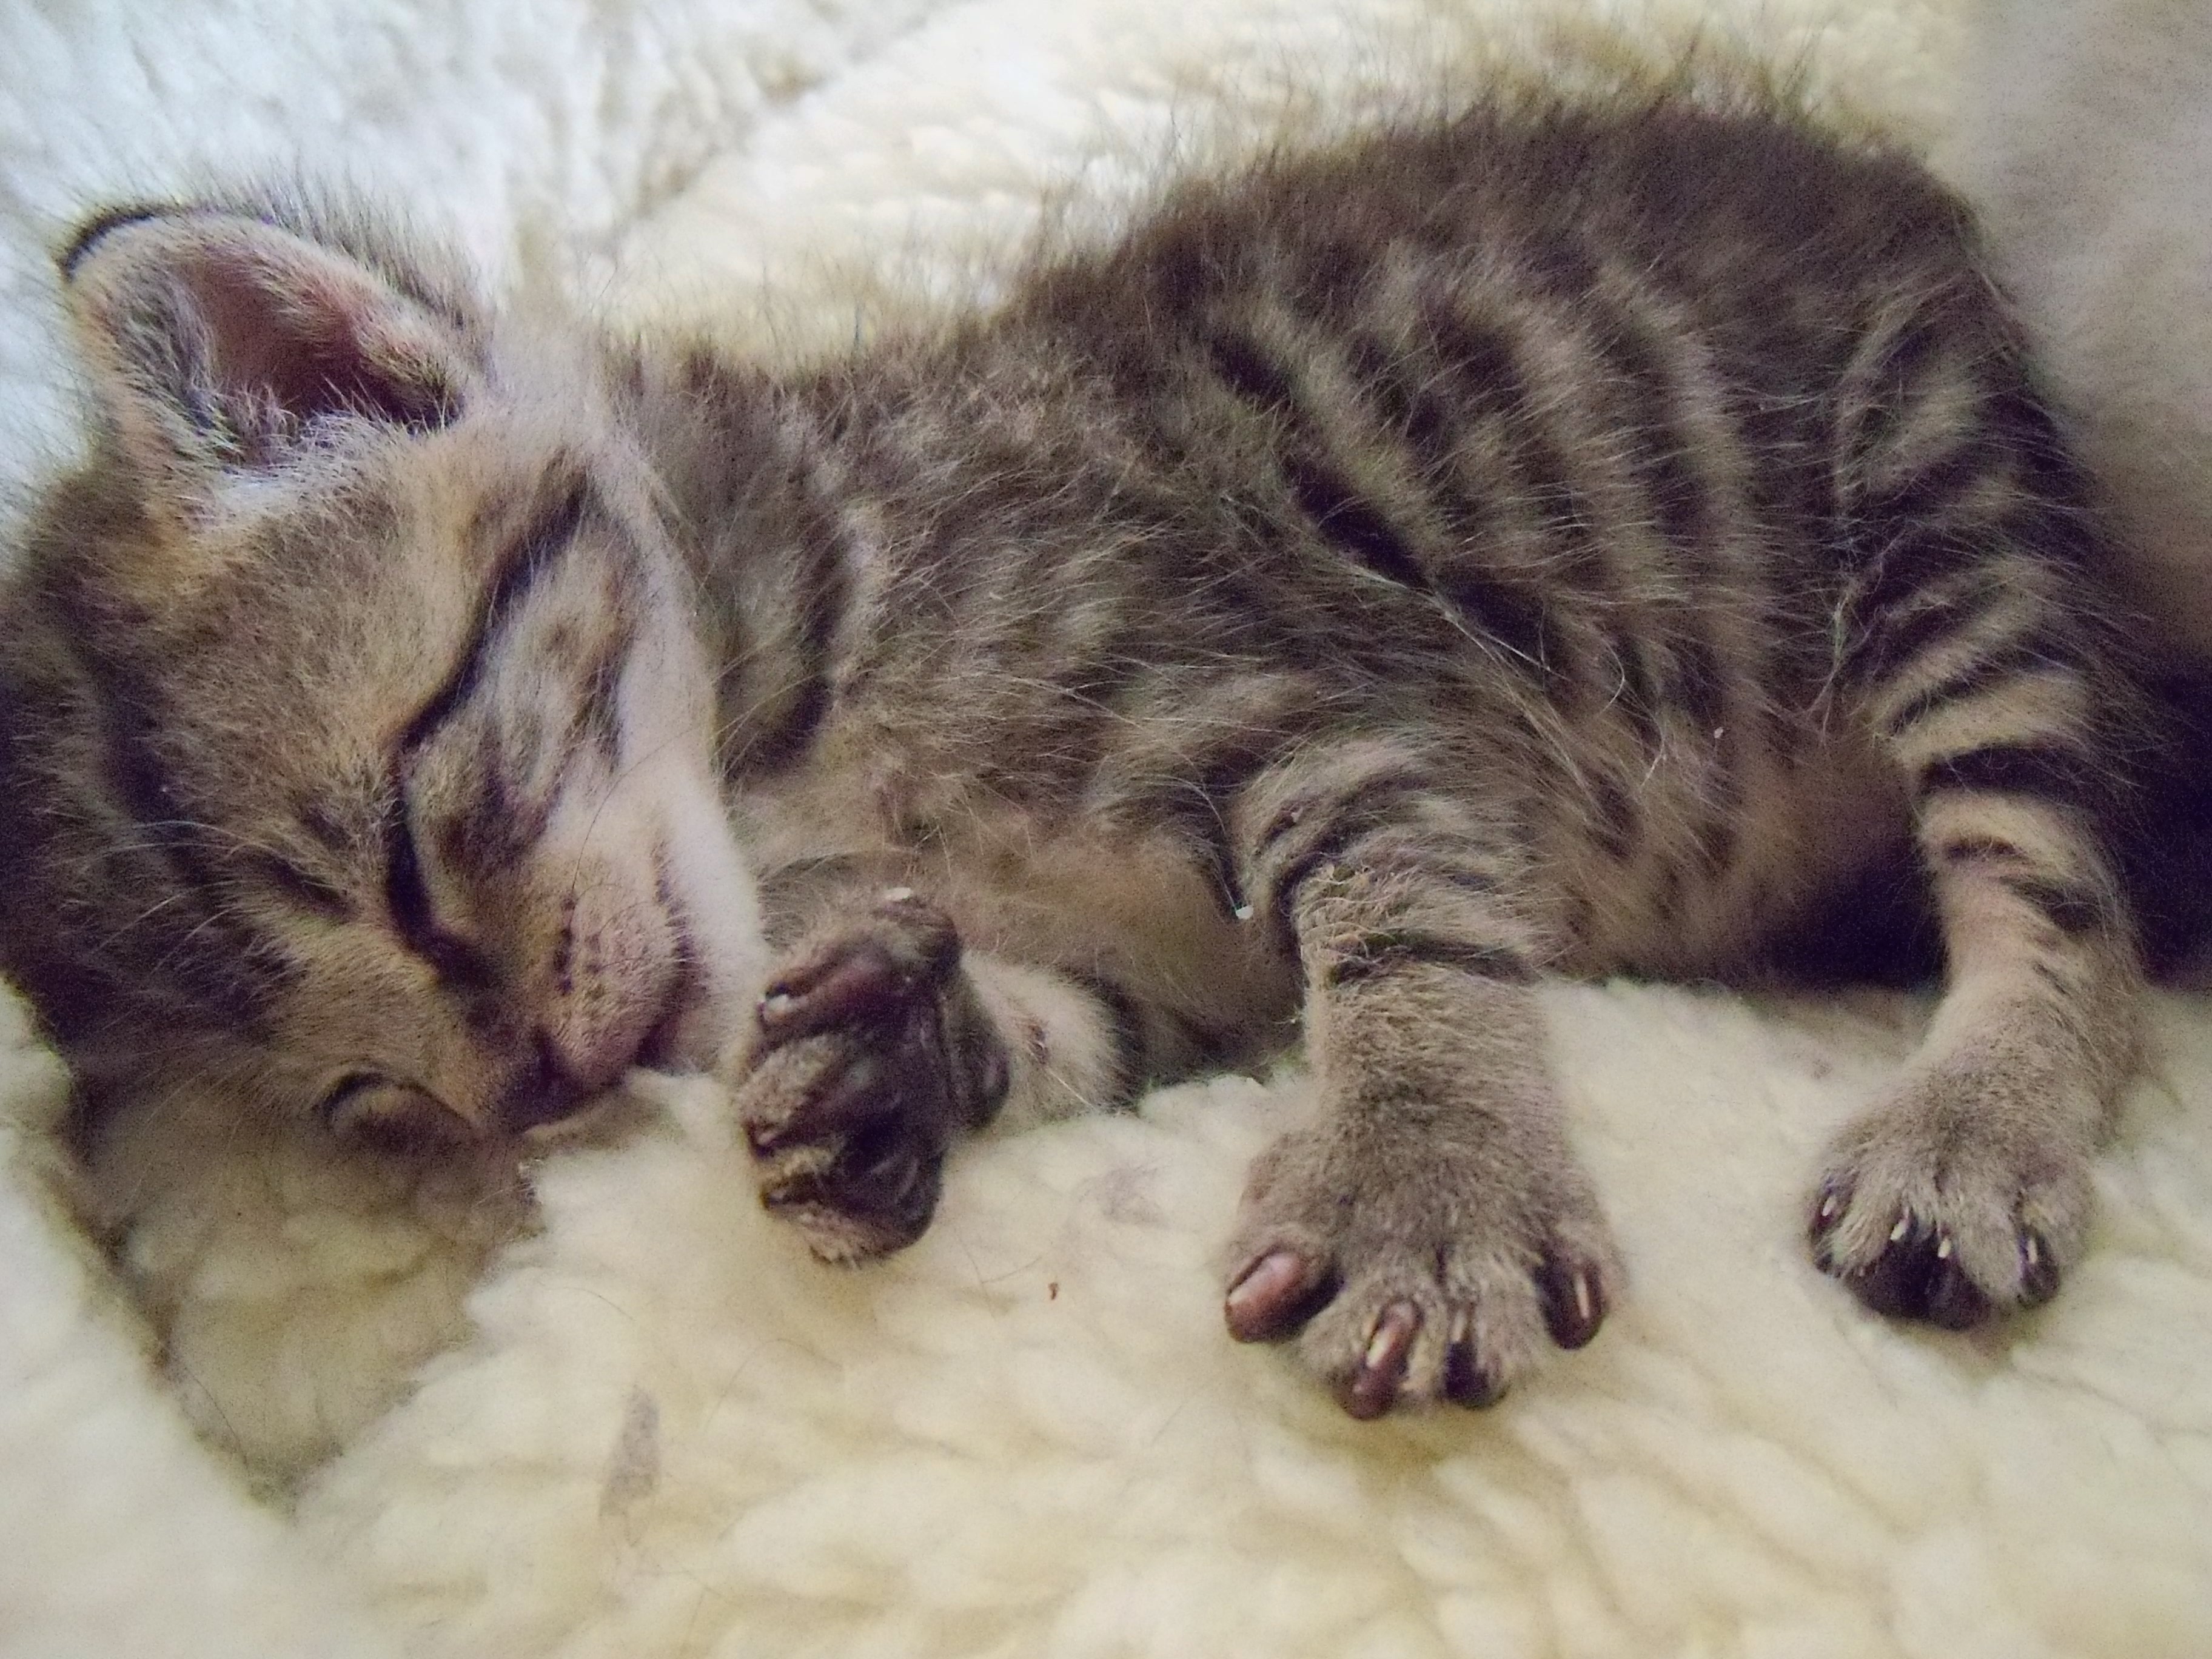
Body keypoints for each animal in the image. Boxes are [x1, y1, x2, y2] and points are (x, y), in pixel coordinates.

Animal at [0, 84, 2150, 1424]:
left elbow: (1411, 922)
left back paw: (1977, 1125)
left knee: (2073, 906)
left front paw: (1428, 1180)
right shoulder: (1179, 982)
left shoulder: (1321, 693)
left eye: (416, 853)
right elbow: (1081, 1031)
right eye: (366, 1096)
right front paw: (889, 1074)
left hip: (1947, 498)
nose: (533, 1088)